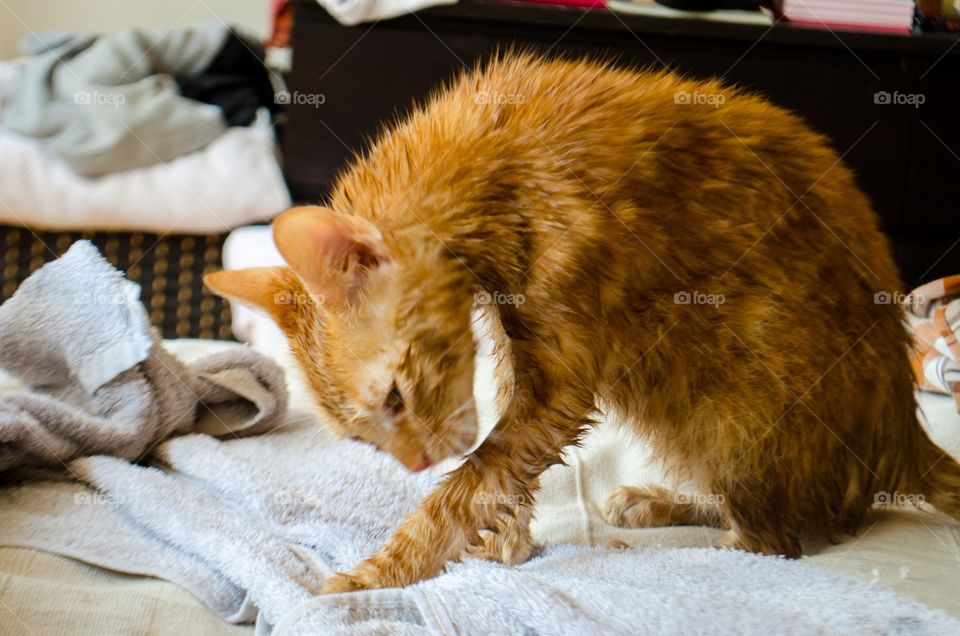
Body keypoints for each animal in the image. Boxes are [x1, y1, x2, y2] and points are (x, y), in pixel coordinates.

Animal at [204, 53, 960, 592]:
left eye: (394, 397)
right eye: (362, 436)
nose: (417, 461)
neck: (493, 152)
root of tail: (904, 434)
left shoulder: (556, 388)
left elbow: (472, 483)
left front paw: (379, 573)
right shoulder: (516, 364)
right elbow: (501, 475)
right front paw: (505, 540)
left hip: (737, 411)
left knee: (774, 544)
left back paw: (688, 540)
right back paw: (659, 504)